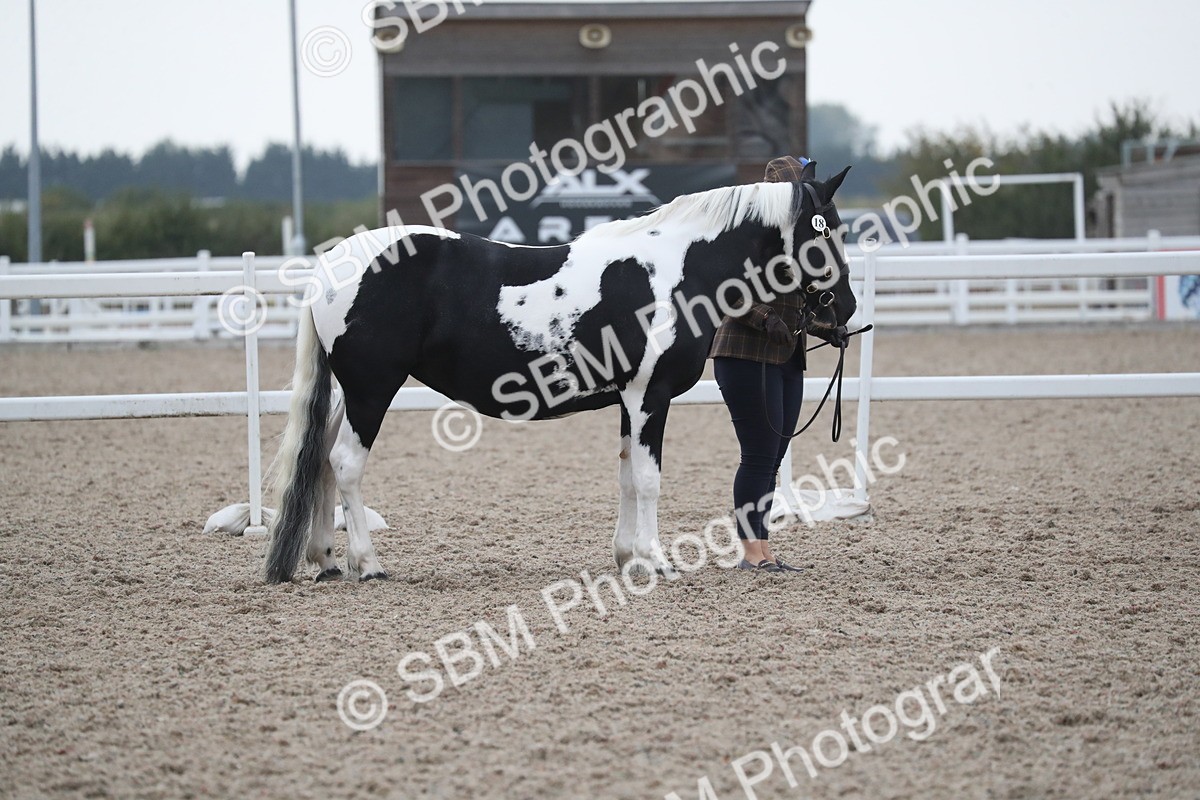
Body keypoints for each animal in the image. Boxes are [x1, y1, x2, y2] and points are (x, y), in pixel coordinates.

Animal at [263, 162, 858, 583]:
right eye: (827, 231)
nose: (845, 309)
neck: (676, 271)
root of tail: (332, 264)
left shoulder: (629, 400)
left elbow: (626, 473)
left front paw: (627, 557)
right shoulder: (651, 394)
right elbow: (649, 478)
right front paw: (656, 560)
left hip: (352, 391)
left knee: (320, 461)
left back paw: (326, 560)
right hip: (372, 388)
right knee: (345, 464)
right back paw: (367, 563)